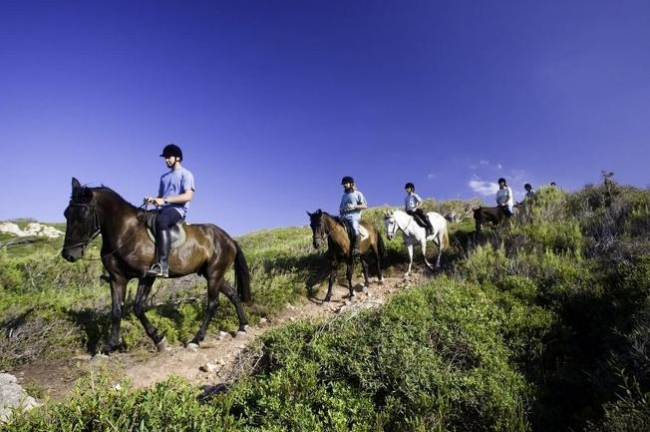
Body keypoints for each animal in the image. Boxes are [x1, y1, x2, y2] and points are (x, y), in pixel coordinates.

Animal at [62, 179, 251, 354]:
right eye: (66, 214)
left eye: (83, 214)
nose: (68, 254)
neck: (126, 232)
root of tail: (229, 239)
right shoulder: (117, 279)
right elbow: (116, 310)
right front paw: (109, 346)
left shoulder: (147, 276)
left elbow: (138, 307)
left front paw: (159, 339)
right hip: (212, 274)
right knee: (232, 294)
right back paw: (242, 327)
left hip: (213, 274)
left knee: (212, 303)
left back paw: (196, 340)